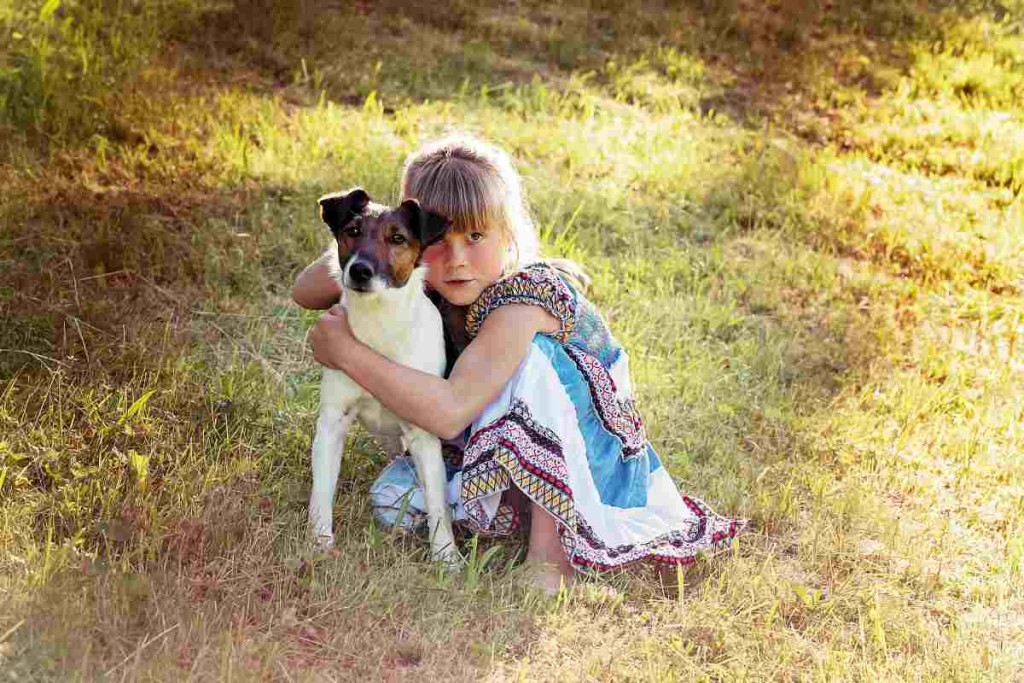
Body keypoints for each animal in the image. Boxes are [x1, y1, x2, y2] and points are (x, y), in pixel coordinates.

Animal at [307, 185, 460, 565]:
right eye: (352, 231)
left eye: (397, 238)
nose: (360, 271)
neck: (379, 326)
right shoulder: (333, 422)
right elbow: (322, 490)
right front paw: (319, 542)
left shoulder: (424, 434)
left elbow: (438, 505)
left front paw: (447, 557)